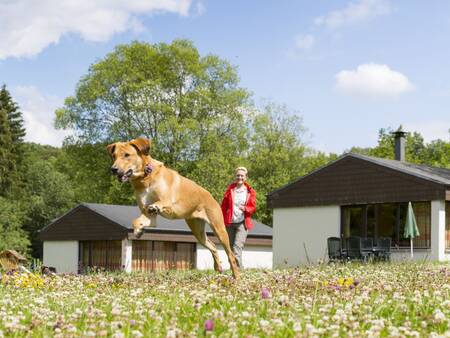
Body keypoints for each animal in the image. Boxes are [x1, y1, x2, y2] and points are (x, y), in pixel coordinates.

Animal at [107, 137, 241, 280]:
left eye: (127, 155)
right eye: (114, 156)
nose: (113, 169)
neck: (145, 176)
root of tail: (211, 196)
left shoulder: (168, 201)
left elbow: (160, 202)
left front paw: (155, 207)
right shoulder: (148, 215)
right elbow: (137, 221)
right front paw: (138, 231)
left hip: (219, 229)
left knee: (231, 255)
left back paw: (236, 277)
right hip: (198, 231)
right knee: (213, 246)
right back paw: (218, 266)